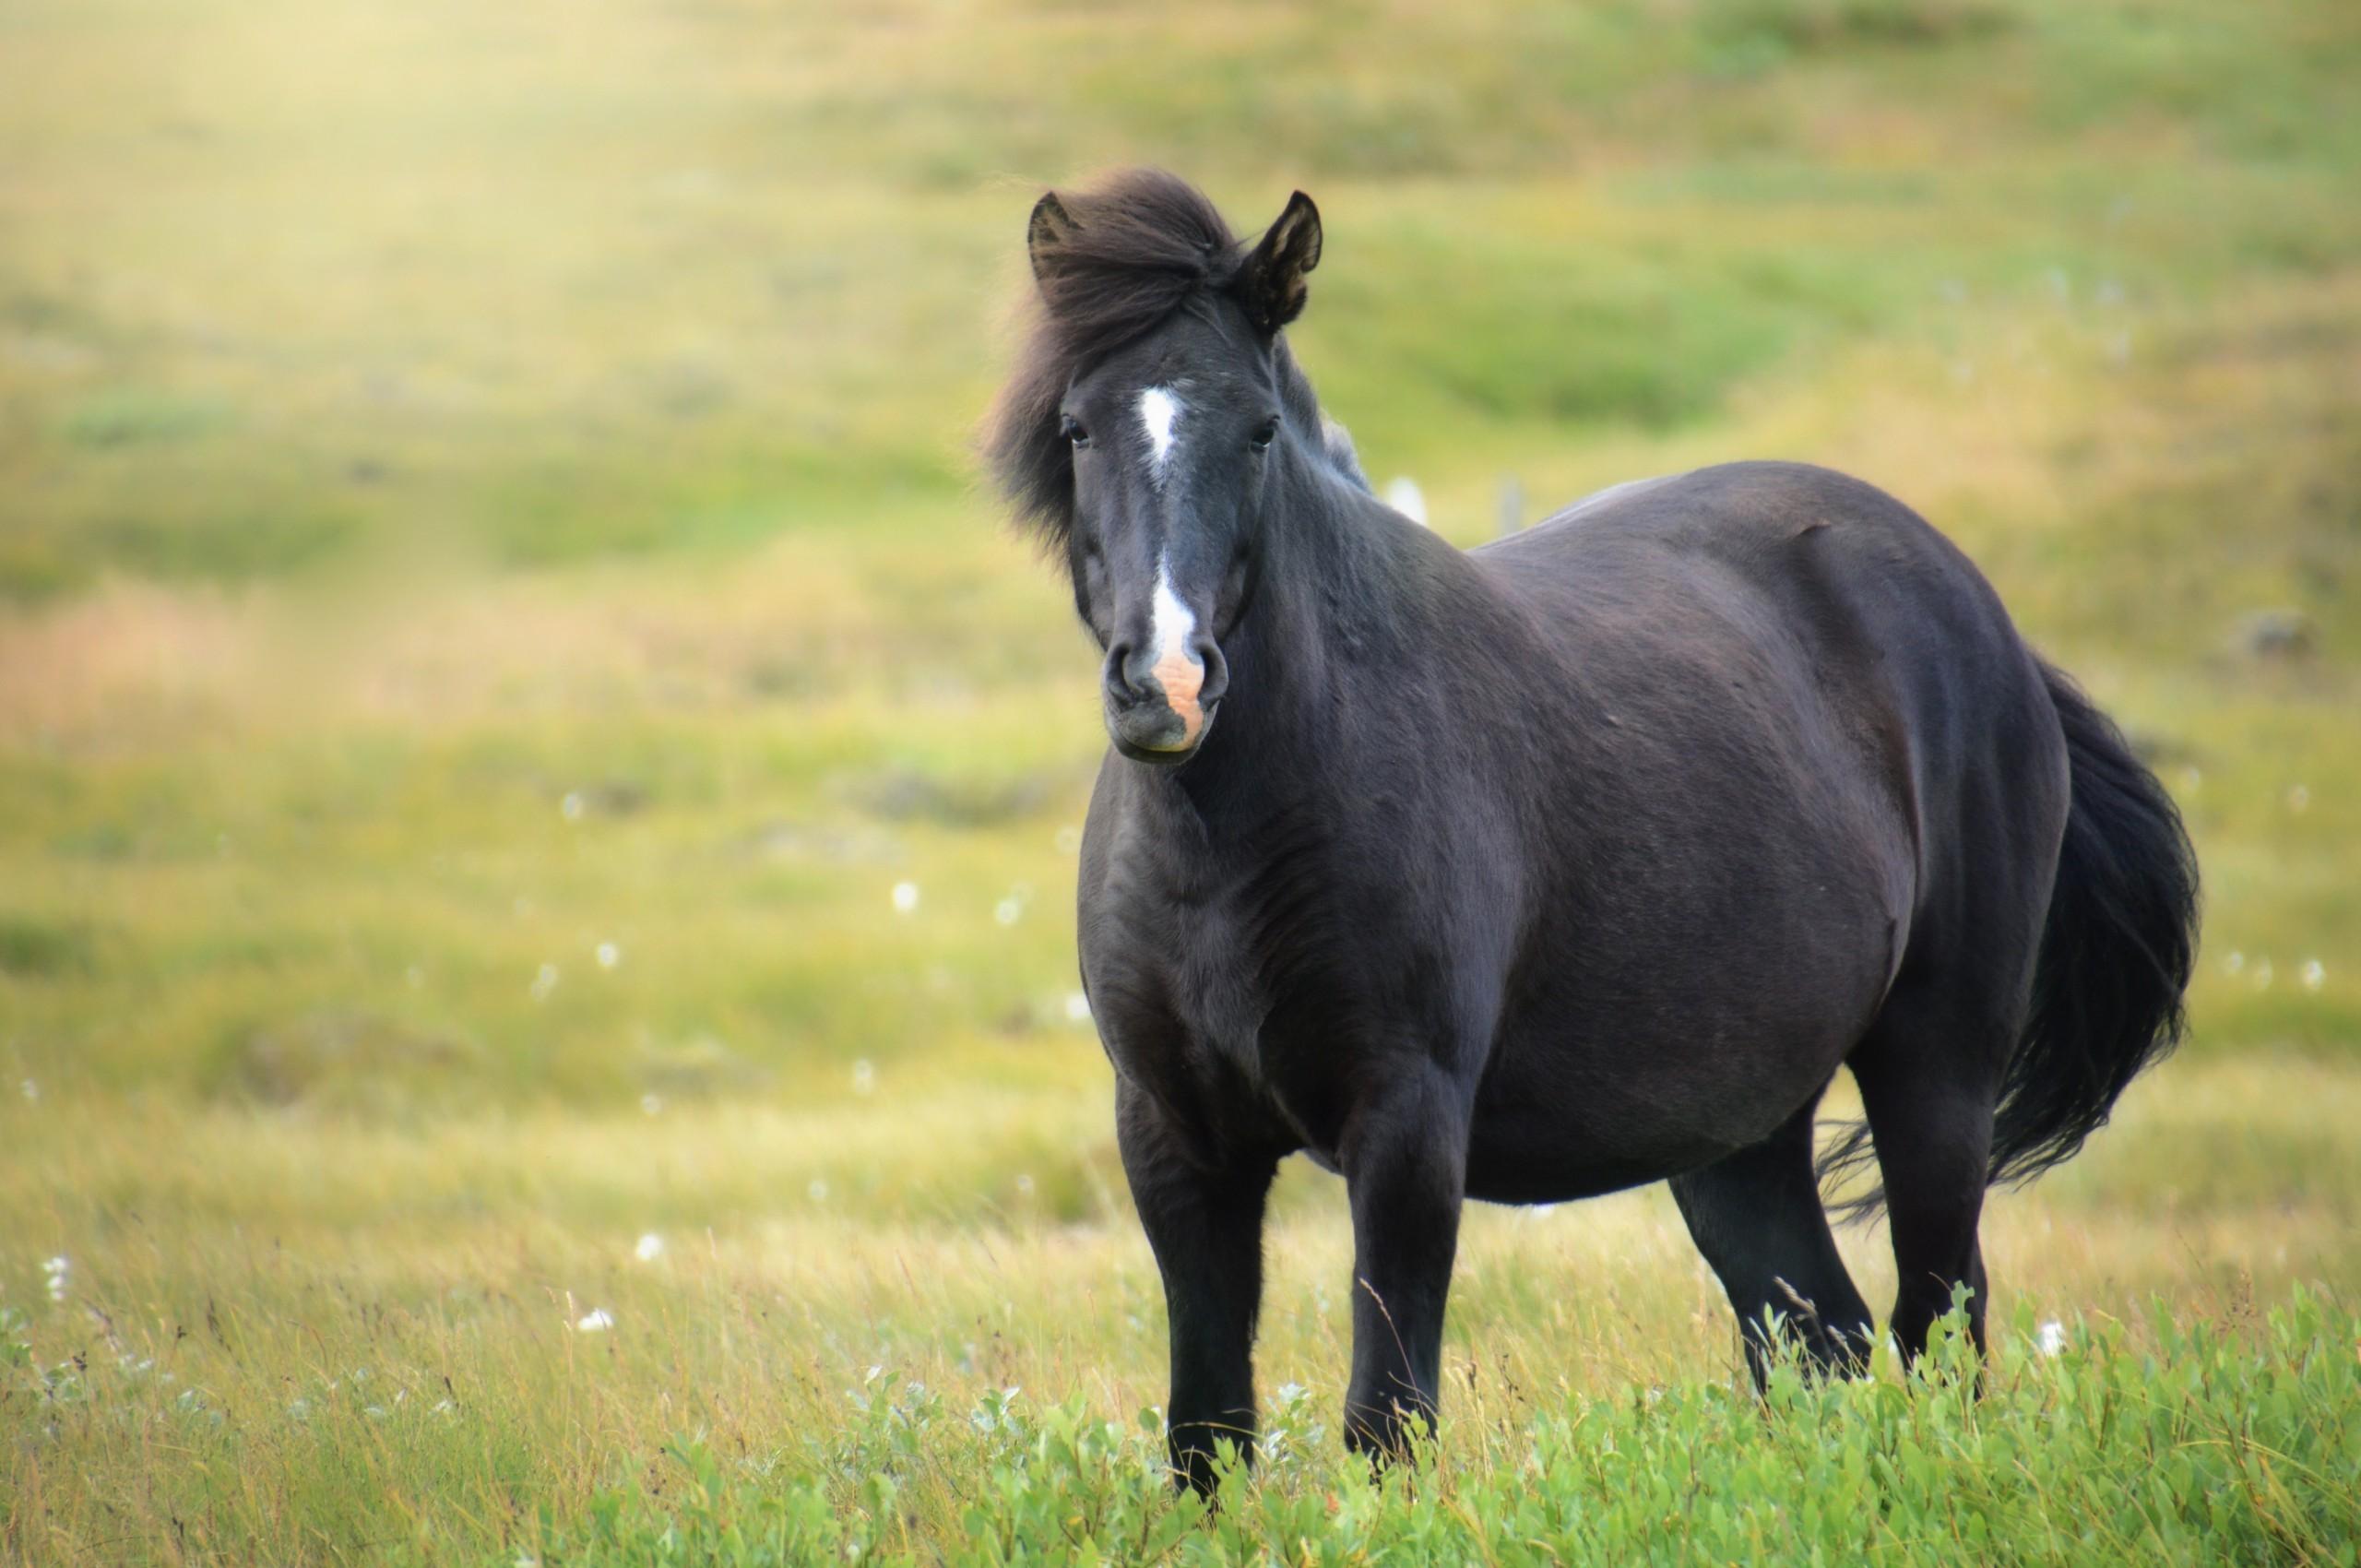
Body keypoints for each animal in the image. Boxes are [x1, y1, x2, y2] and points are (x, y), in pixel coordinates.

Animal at [981, 169, 2199, 1493]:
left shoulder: (1407, 1128)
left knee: (1939, 1325)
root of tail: (1989, 620)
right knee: (1821, 1339)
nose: (1165, 683)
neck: (1233, 841)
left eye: (1255, 430)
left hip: (1936, 1069)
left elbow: (1385, 1421)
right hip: (1739, 1132)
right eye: (1078, 427)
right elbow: (1205, 1435)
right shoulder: (1173, 1140)